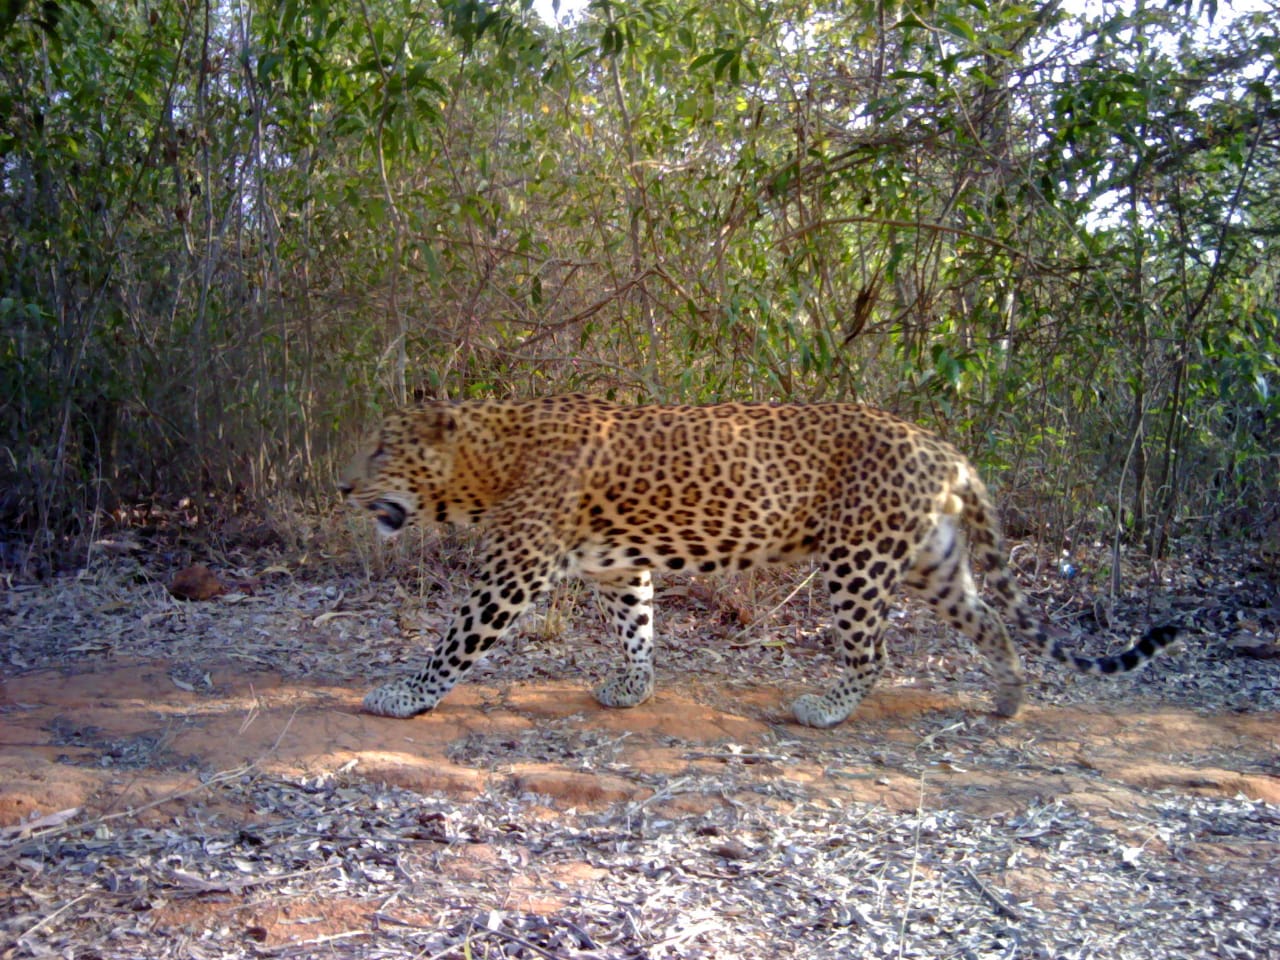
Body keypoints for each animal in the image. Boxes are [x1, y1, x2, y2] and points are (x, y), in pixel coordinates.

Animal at [343, 394, 1177, 727]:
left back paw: (824, 708)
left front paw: (403, 694)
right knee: (991, 623)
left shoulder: (514, 569)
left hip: (859, 558)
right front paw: (634, 687)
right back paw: (1007, 699)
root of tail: (944, 449)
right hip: (931, 560)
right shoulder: (615, 565)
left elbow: (456, 641)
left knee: (873, 652)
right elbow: (637, 626)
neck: (488, 463)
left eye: (383, 449)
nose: (345, 487)